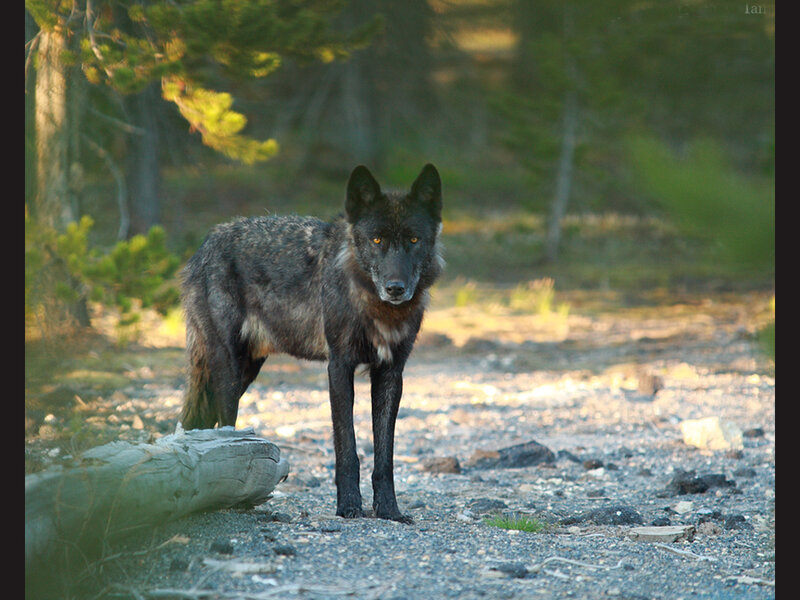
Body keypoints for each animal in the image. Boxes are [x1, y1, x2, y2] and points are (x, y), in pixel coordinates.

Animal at [179, 164, 444, 522]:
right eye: (377, 240)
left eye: (414, 240)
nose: (395, 288)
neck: (374, 307)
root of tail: (206, 243)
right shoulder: (339, 367)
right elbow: (347, 447)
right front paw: (348, 506)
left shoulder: (391, 374)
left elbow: (384, 455)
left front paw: (389, 510)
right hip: (228, 371)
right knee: (225, 427)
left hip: (246, 370)